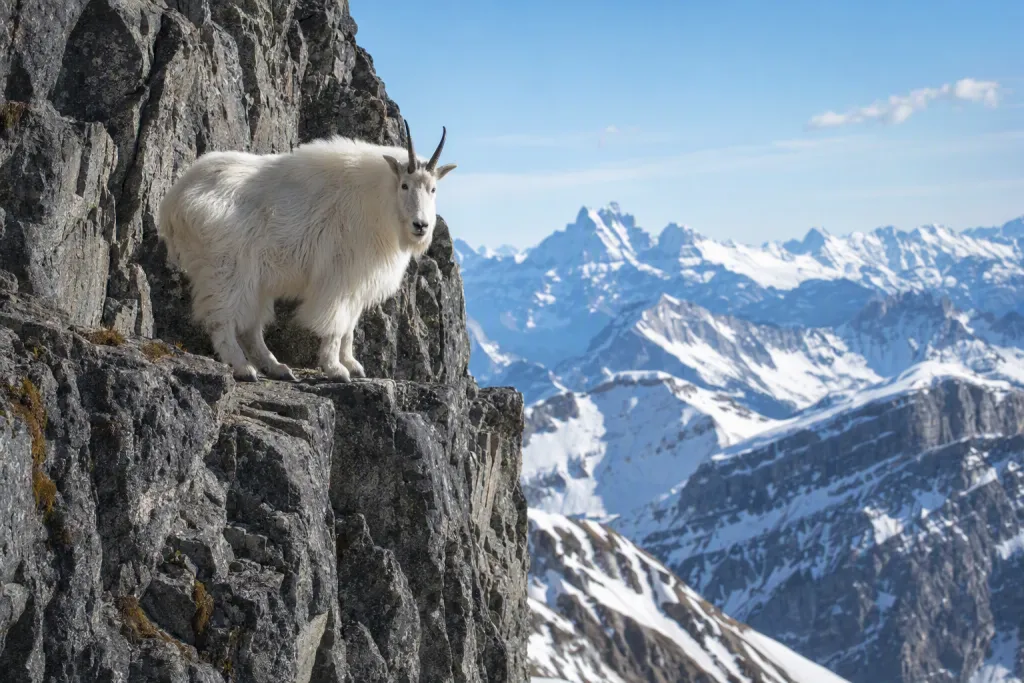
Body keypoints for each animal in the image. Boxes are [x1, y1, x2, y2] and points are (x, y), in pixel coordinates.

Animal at [157, 121, 457, 382]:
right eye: (405, 185)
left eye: (433, 189)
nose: (421, 225)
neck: (378, 203)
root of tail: (174, 200)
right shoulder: (338, 279)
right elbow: (335, 326)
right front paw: (336, 369)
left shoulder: (357, 283)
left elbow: (349, 326)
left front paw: (353, 365)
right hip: (226, 269)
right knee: (222, 319)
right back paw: (244, 368)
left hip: (255, 281)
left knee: (251, 326)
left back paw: (277, 367)